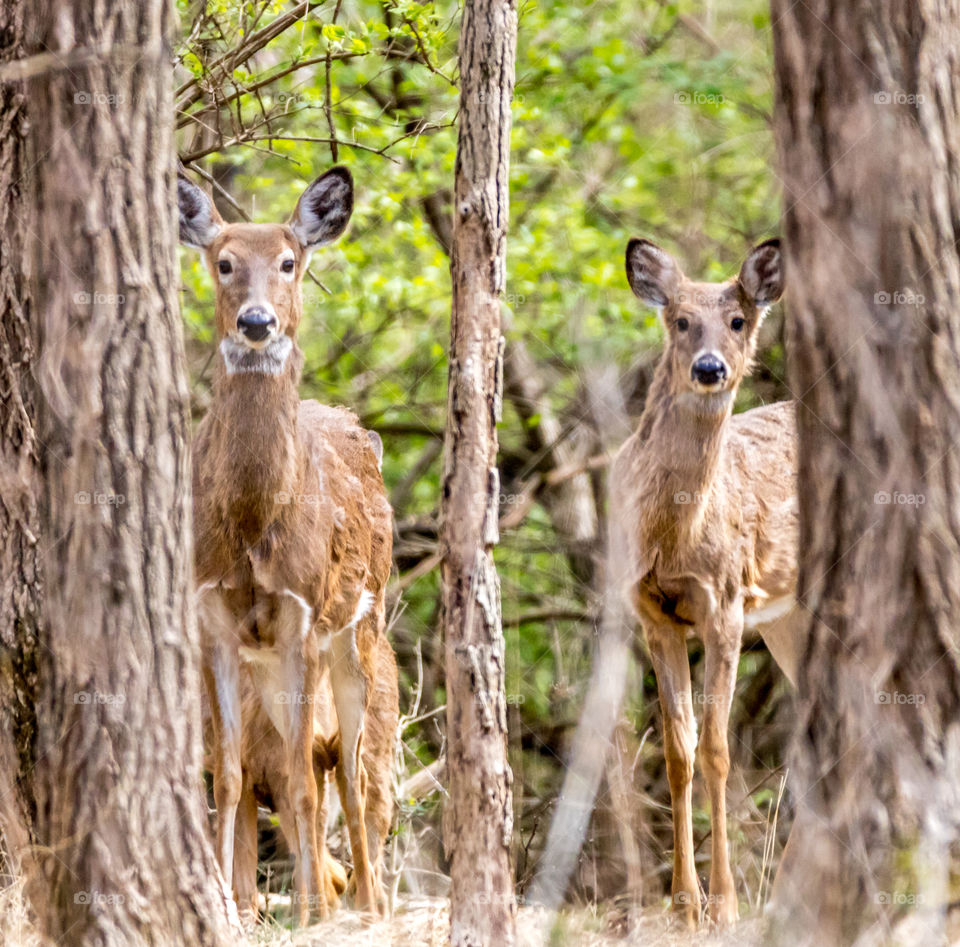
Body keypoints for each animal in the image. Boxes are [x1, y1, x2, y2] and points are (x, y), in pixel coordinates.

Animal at [177, 165, 397, 925]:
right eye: (223, 262)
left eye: (288, 262)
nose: (256, 323)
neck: (251, 524)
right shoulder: (213, 615)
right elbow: (230, 774)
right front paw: (227, 908)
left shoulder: (302, 612)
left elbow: (304, 778)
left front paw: (313, 919)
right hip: (273, 656)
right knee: (298, 766)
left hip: (359, 628)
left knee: (351, 772)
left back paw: (361, 905)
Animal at [609, 236, 804, 929]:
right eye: (681, 320)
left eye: (739, 320)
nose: (711, 368)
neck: (673, 534)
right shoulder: (652, 613)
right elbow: (678, 751)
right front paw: (682, 903)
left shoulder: (725, 605)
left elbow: (720, 750)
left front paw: (724, 903)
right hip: (790, 617)